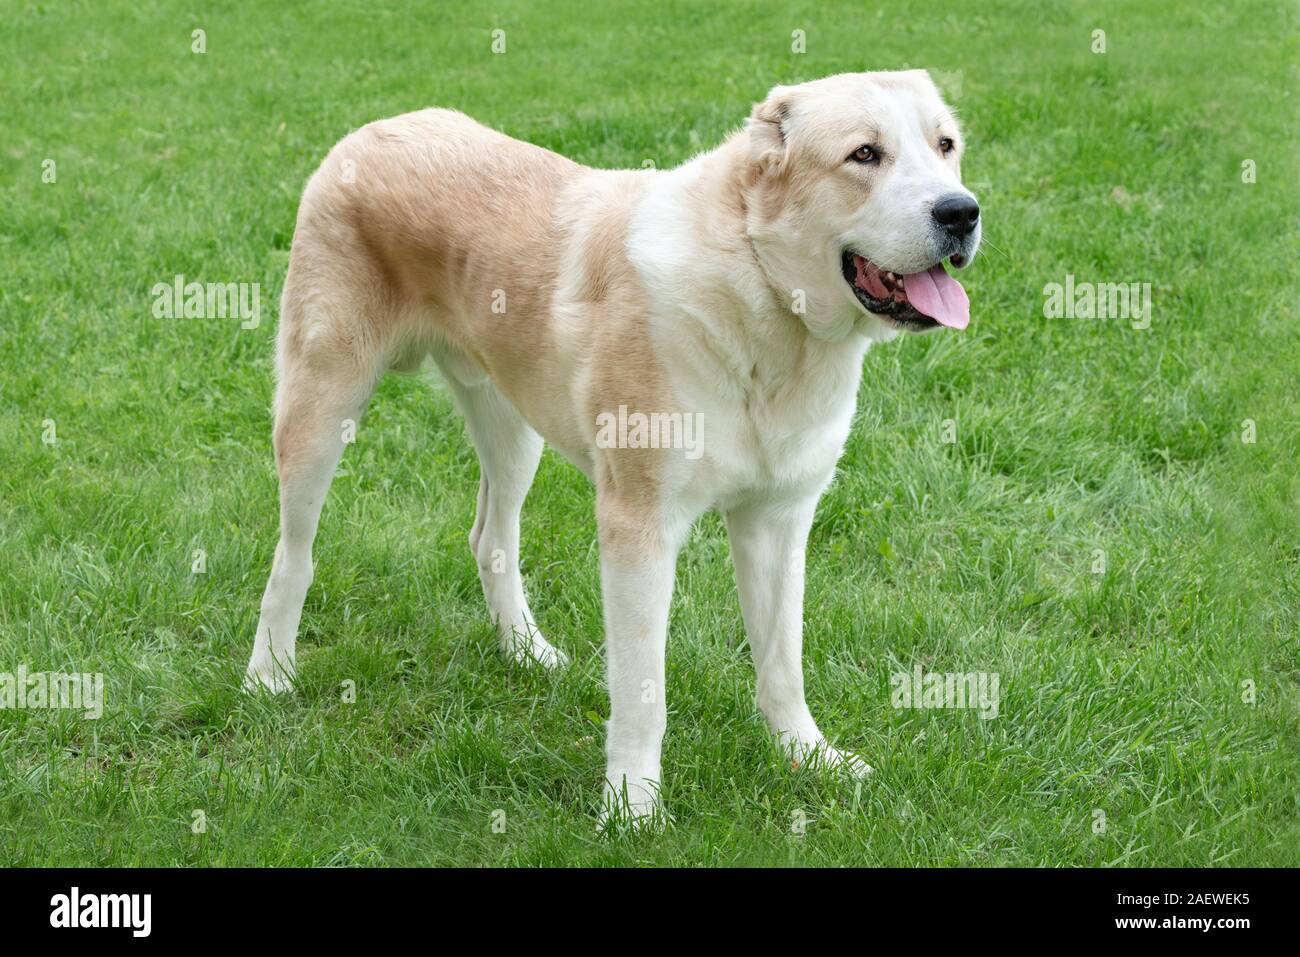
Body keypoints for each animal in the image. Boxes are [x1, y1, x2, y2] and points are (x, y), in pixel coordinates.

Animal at [244, 70, 977, 826]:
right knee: (293, 554)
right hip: (321, 405)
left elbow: (782, 663)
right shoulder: (639, 528)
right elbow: (642, 689)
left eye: (945, 146)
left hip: (513, 429)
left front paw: (807, 756)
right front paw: (632, 809)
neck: (761, 295)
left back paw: (527, 654)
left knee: (490, 536)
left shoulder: (778, 521)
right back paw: (269, 674)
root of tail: (375, 129)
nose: (962, 213)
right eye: (864, 154)